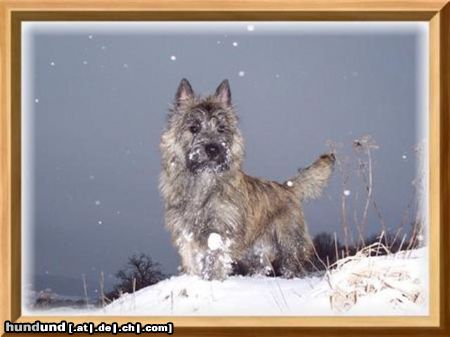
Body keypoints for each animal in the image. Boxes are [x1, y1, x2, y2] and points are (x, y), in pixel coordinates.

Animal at [159, 78, 334, 278]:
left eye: (221, 128)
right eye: (193, 128)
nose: (213, 149)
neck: (202, 183)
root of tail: (287, 187)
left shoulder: (220, 231)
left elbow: (215, 261)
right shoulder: (185, 233)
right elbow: (192, 264)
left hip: (289, 243)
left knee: (293, 265)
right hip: (255, 251)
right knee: (262, 267)